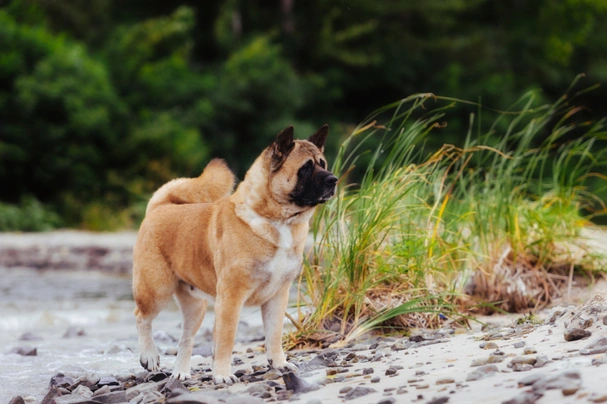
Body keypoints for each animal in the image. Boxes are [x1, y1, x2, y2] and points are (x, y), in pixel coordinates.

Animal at [131, 124, 338, 384]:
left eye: (323, 163)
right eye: (306, 168)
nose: (333, 179)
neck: (278, 220)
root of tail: (160, 207)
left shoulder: (277, 297)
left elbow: (274, 334)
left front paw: (279, 364)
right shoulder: (231, 298)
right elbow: (226, 340)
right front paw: (222, 374)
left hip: (196, 308)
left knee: (186, 339)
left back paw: (180, 373)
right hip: (156, 290)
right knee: (142, 317)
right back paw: (149, 356)